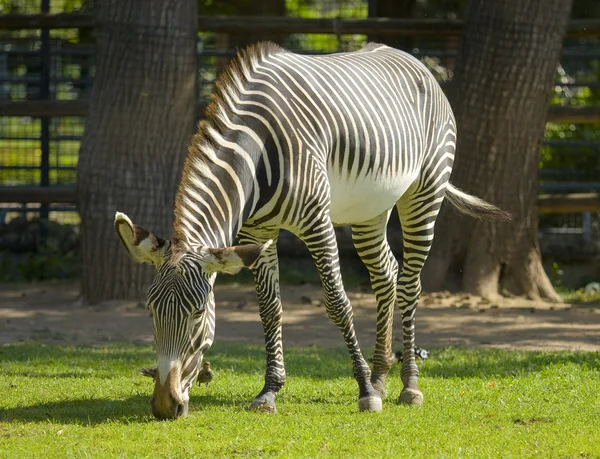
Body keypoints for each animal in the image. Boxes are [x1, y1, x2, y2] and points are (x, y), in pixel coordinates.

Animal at [115, 42, 508, 420]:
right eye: (150, 311)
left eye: (198, 313)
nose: (164, 406)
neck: (257, 155)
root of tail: (414, 60)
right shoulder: (257, 232)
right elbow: (269, 308)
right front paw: (270, 391)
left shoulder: (316, 222)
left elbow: (338, 303)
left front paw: (364, 392)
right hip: (370, 209)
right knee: (387, 275)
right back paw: (381, 376)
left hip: (425, 190)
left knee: (411, 283)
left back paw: (407, 385)